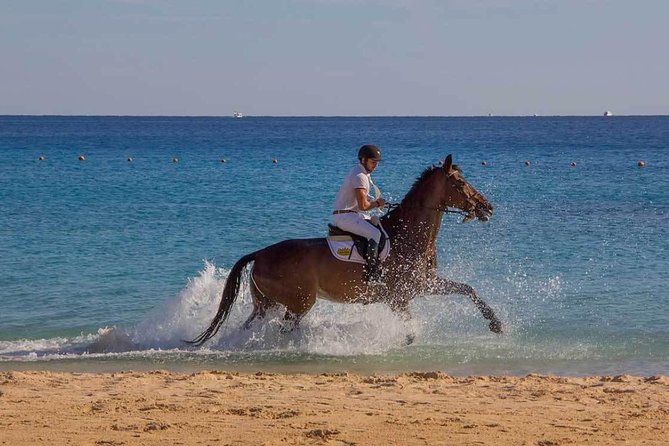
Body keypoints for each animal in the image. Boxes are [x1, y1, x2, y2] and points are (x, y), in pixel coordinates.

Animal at [188, 154, 502, 346]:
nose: (487, 207)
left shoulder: (423, 285)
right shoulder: (399, 298)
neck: (409, 237)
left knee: (250, 327)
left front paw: (495, 323)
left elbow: (468, 289)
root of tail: (261, 253)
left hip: (267, 304)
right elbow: (411, 331)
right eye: (460, 183)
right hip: (299, 303)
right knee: (283, 329)